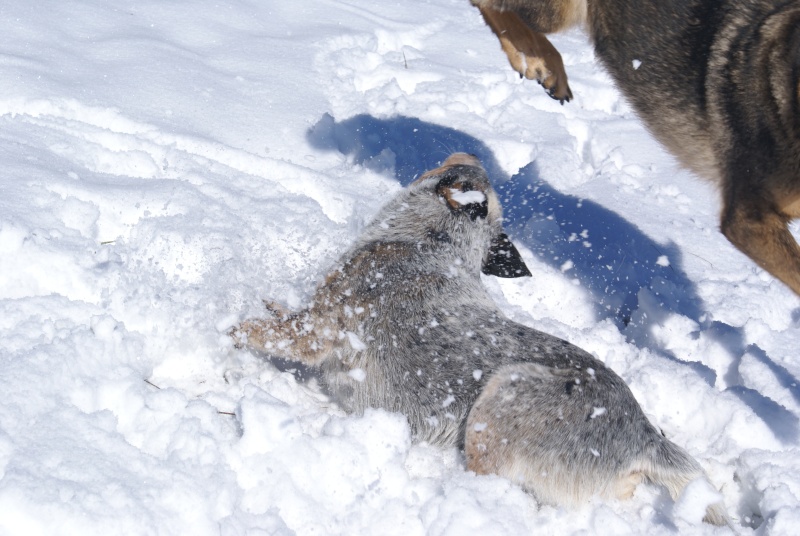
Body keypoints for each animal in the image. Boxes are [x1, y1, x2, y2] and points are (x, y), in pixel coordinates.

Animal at [230, 154, 724, 524]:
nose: (465, 154)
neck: (433, 242)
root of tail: (644, 438)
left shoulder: (321, 329)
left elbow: (266, 332)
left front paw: (228, 332)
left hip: (501, 398)